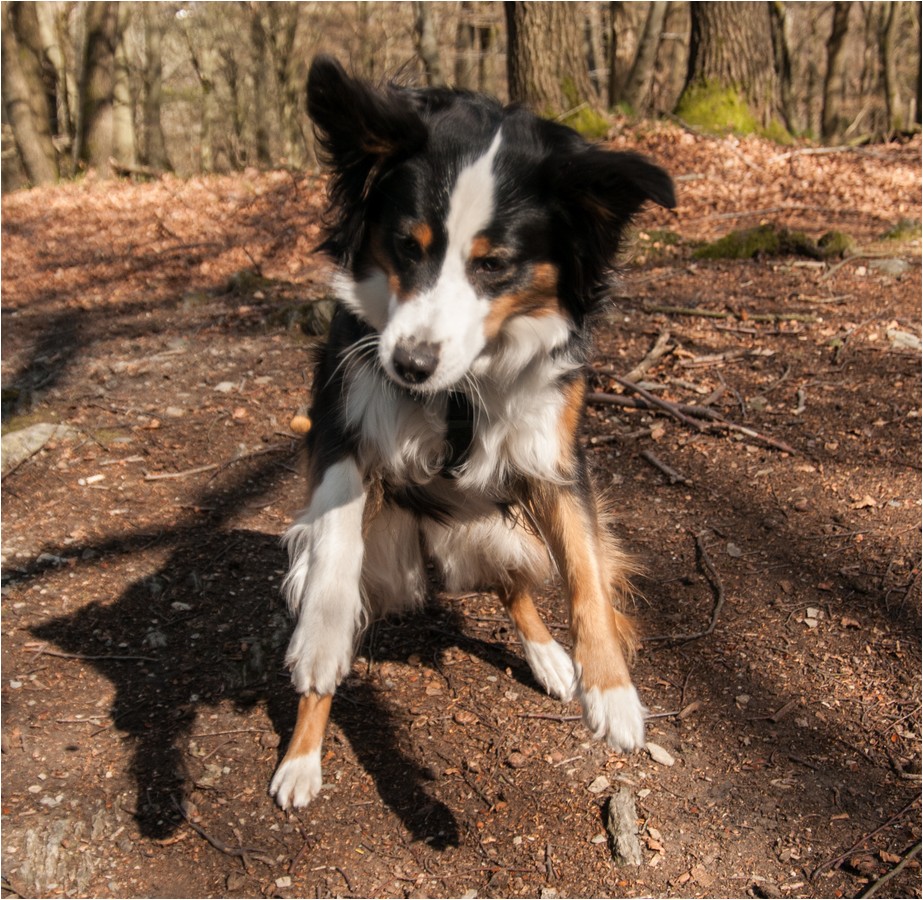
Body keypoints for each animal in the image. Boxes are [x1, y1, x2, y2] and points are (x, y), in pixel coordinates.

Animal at [270, 56, 676, 808]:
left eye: (494, 265)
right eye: (406, 246)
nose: (409, 364)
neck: (459, 389)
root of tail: (433, 563)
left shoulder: (554, 455)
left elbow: (585, 570)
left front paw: (612, 691)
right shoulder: (340, 409)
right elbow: (336, 525)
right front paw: (320, 639)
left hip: (503, 532)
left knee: (516, 586)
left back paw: (552, 660)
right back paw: (301, 758)